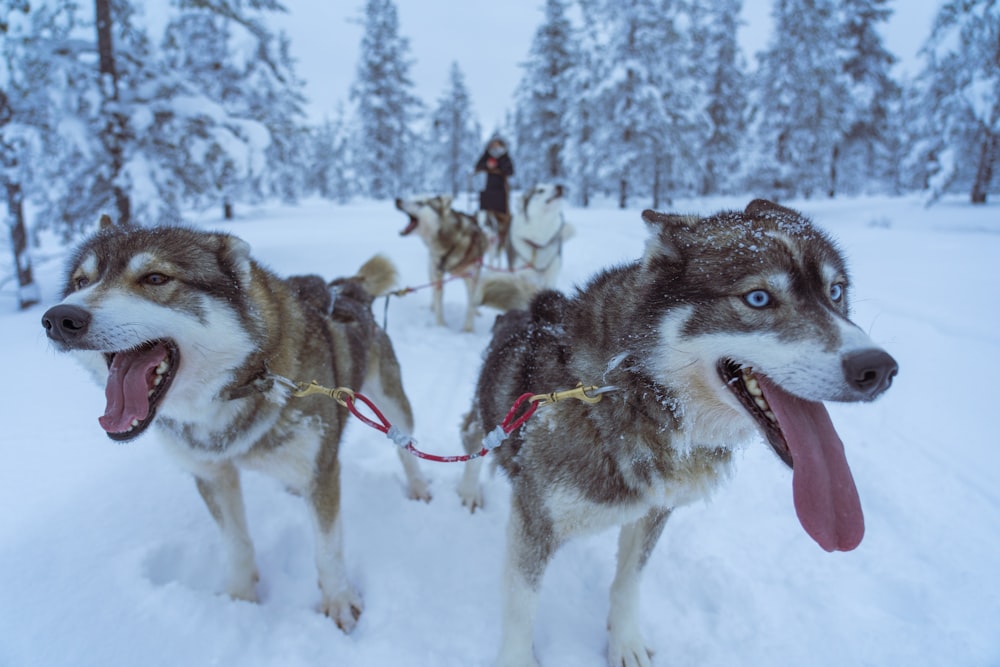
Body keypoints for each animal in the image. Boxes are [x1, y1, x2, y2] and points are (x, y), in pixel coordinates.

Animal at [41, 218, 430, 632]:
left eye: (155, 278)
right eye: (81, 282)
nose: (59, 318)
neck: (243, 383)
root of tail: (347, 286)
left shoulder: (321, 472)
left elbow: (328, 548)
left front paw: (339, 600)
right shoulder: (211, 474)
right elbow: (236, 543)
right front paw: (240, 600)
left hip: (392, 404)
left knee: (405, 448)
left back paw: (419, 486)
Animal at [460, 200, 900, 667]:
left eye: (835, 292)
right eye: (758, 298)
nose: (877, 369)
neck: (630, 392)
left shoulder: (655, 510)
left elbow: (628, 581)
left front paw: (625, 642)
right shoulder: (534, 520)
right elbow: (521, 608)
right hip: (487, 421)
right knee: (470, 437)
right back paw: (469, 490)